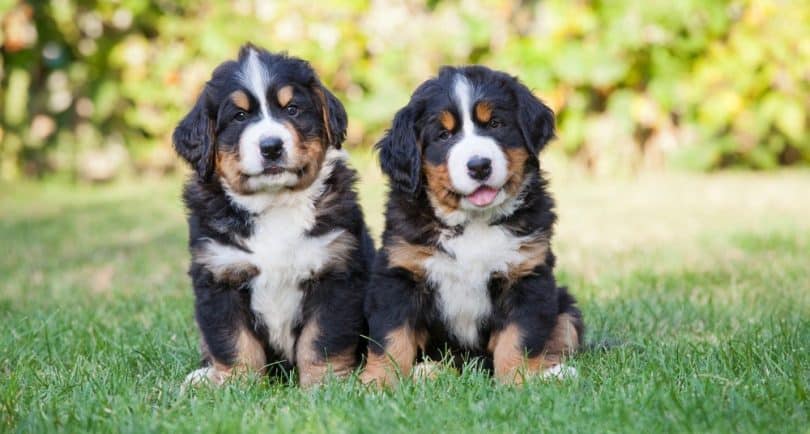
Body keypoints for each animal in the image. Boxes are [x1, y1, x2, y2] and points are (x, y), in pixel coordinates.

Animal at [173, 45, 372, 386]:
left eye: (292, 109)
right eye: (239, 116)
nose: (271, 146)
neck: (275, 203)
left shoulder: (336, 271)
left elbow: (320, 340)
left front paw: (324, 384)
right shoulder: (220, 275)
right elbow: (233, 341)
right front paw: (237, 385)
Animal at [360, 65, 580, 386]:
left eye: (496, 124)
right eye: (443, 135)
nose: (479, 166)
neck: (473, 222)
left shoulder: (526, 276)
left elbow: (518, 338)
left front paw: (517, 381)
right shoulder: (400, 275)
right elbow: (391, 337)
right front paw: (378, 383)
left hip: (567, 309)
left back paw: (555, 372)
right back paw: (429, 370)